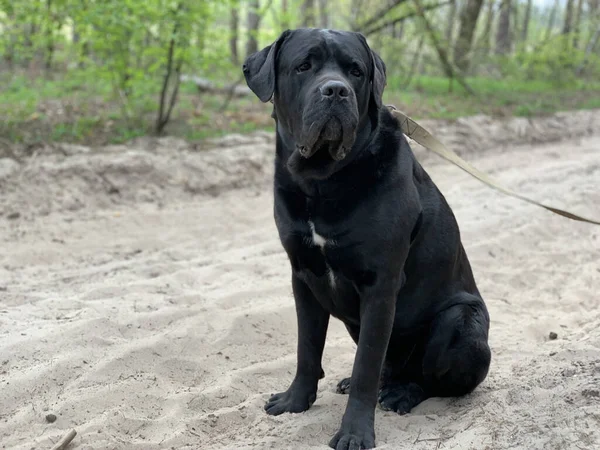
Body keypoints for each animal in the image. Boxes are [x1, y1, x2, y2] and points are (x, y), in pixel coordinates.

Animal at [244, 29, 492, 450]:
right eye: (304, 66)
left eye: (355, 71)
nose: (335, 90)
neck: (322, 178)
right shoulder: (303, 276)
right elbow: (307, 348)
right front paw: (295, 401)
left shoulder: (380, 284)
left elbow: (366, 366)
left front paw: (354, 433)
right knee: (386, 367)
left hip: (461, 322)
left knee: (429, 379)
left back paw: (401, 393)